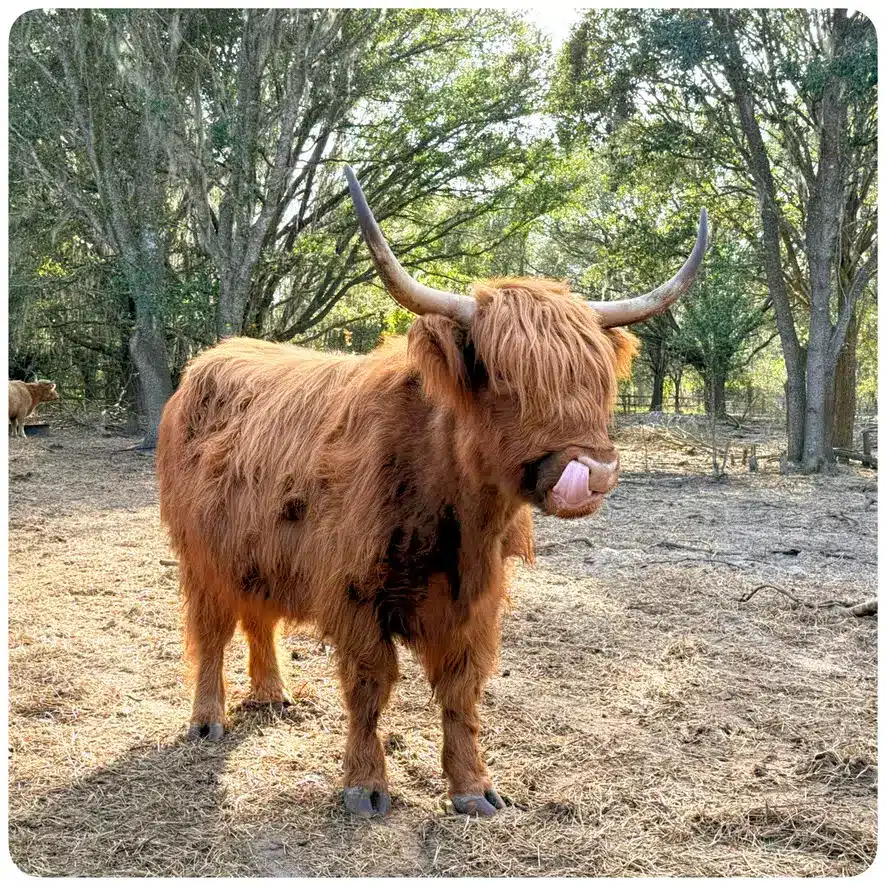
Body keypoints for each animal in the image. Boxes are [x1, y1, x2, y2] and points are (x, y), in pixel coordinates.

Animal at [156, 166, 707, 818]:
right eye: (503, 377)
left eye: (599, 379)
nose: (591, 470)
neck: (456, 515)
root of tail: (212, 356)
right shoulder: (355, 592)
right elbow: (370, 686)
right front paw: (365, 786)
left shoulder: (476, 600)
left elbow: (462, 691)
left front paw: (473, 788)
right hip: (202, 556)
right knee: (212, 629)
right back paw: (208, 720)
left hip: (259, 548)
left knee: (258, 616)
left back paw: (273, 695)